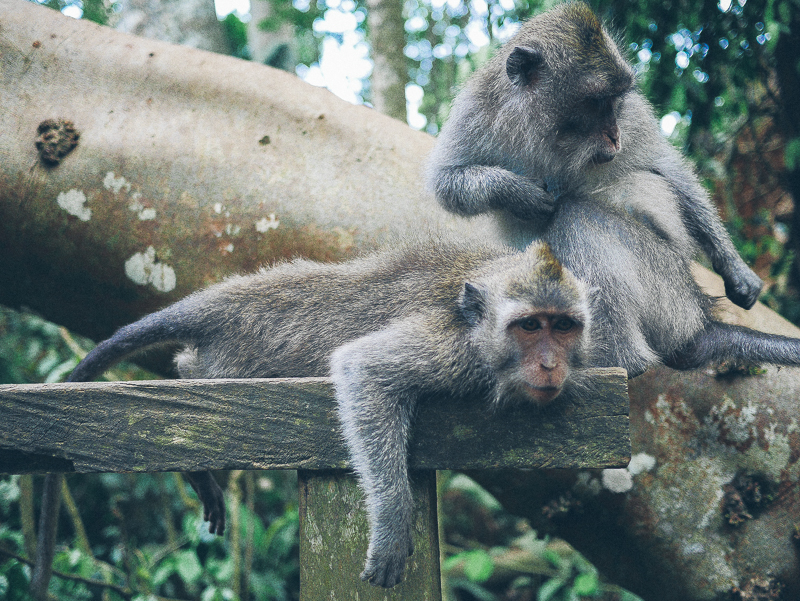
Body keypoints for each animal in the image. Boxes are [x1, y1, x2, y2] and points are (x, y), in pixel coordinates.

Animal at [31, 237, 592, 592]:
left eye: (562, 326)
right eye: (529, 326)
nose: (550, 364)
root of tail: (227, 299)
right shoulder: (451, 347)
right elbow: (363, 370)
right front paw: (393, 520)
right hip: (241, 355)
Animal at [424, 0, 764, 310]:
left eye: (616, 100)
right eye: (596, 101)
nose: (615, 134)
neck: (548, 133)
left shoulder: (633, 118)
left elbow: (665, 166)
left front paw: (734, 267)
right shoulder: (477, 110)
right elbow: (447, 183)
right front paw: (520, 194)